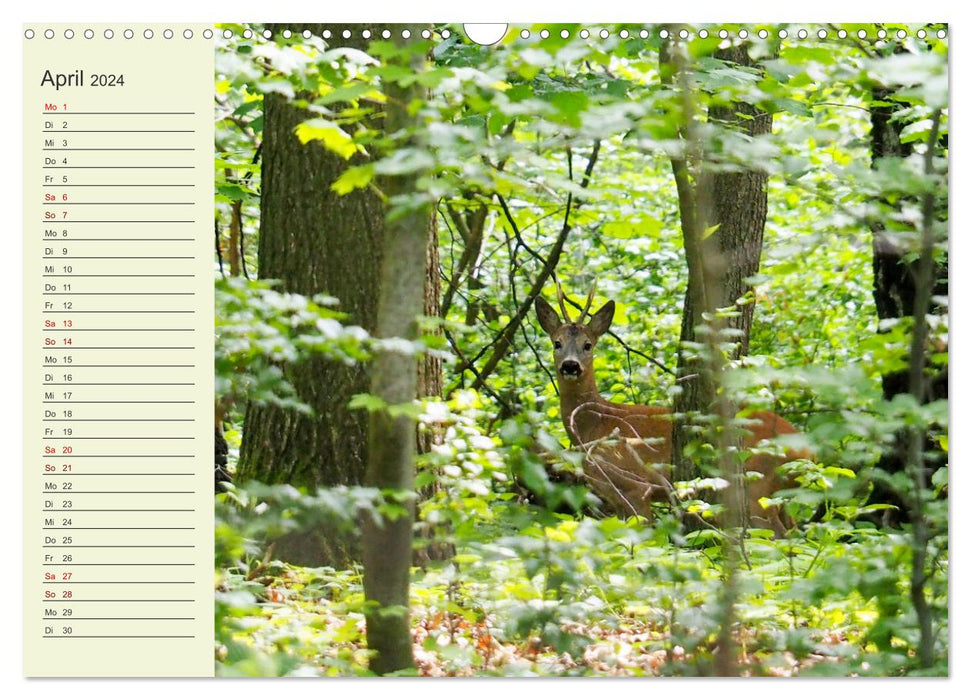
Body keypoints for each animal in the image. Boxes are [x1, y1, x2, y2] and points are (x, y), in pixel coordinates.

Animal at [536, 288, 800, 532]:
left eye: (588, 345)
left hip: (756, 484)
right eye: (557, 343)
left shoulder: (636, 486)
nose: (570, 366)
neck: (595, 424)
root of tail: (804, 448)